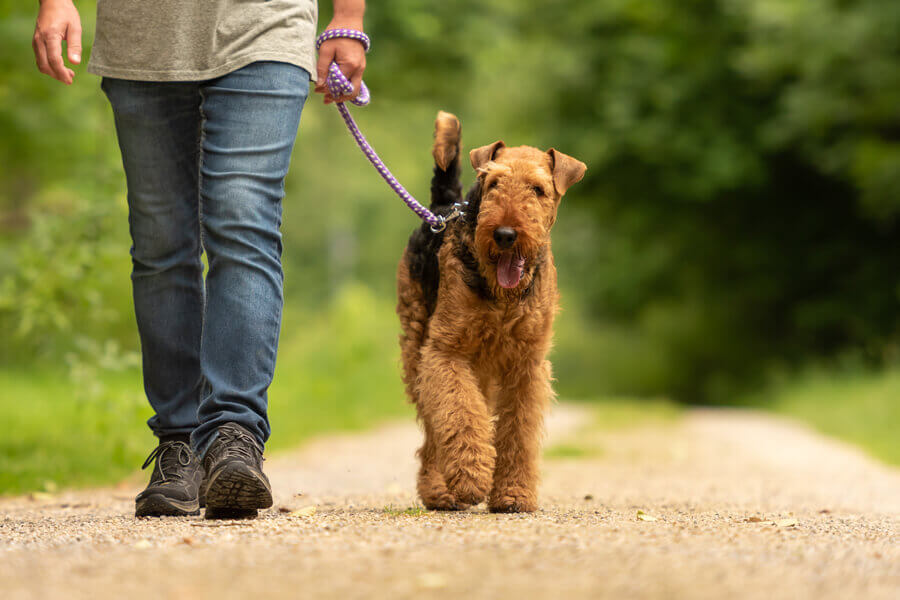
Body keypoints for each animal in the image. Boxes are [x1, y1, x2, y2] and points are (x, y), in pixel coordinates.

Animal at [398, 111, 588, 510]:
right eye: (494, 182)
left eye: (538, 189)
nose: (504, 234)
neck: (504, 297)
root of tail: (443, 207)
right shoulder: (446, 352)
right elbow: (459, 415)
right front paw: (472, 479)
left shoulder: (527, 363)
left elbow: (518, 432)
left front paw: (513, 494)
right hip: (418, 346)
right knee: (434, 428)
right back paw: (439, 490)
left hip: (479, 366)